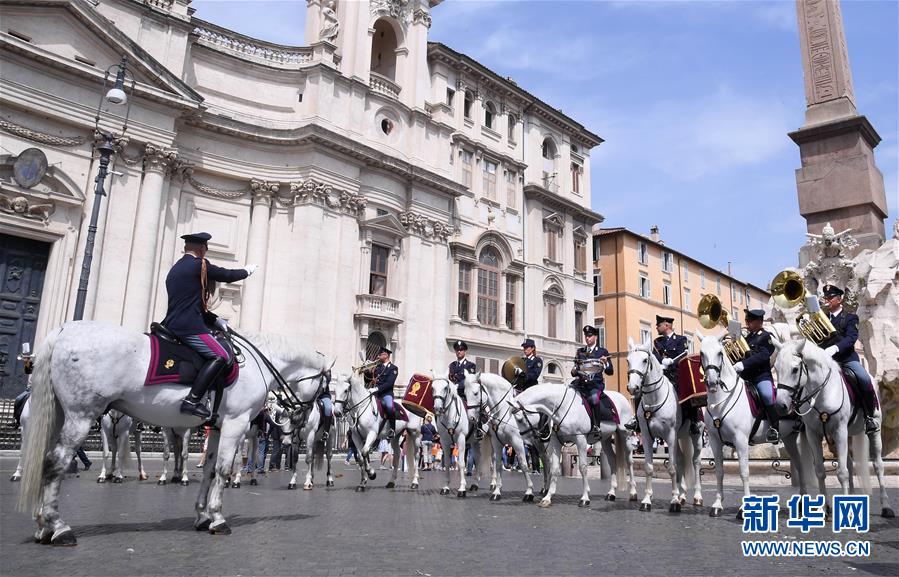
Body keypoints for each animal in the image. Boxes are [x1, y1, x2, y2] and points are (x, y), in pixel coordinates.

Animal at [17, 322, 332, 544]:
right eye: (323, 386)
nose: (303, 417)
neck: (256, 364)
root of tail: (61, 331)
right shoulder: (235, 422)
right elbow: (222, 469)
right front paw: (218, 518)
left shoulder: (217, 426)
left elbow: (209, 470)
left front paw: (202, 515)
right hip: (81, 415)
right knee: (56, 461)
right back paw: (58, 527)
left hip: (57, 414)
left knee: (44, 458)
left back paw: (42, 526)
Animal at [624, 338, 704, 512]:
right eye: (628, 360)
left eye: (644, 360)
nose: (633, 388)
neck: (654, 398)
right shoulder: (647, 436)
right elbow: (649, 467)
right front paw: (647, 500)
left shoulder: (670, 435)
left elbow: (672, 468)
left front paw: (673, 501)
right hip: (680, 437)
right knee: (682, 460)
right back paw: (682, 495)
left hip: (695, 437)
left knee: (695, 462)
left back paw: (697, 497)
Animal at [696, 330, 816, 516]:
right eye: (702, 353)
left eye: (720, 353)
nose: (712, 382)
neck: (721, 401)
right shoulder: (715, 441)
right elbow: (719, 471)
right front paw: (717, 504)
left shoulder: (740, 440)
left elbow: (744, 473)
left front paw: (743, 508)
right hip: (789, 438)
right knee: (800, 465)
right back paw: (802, 502)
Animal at [772, 338, 892, 516]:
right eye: (776, 368)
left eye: (795, 369)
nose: (780, 406)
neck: (822, 394)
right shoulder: (814, 434)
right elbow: (820, 471)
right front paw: (825, 507)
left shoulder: (839, 431)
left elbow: (842, 472)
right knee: (850, 464)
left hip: (872, 431)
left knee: (878, 465)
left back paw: (886, 506)